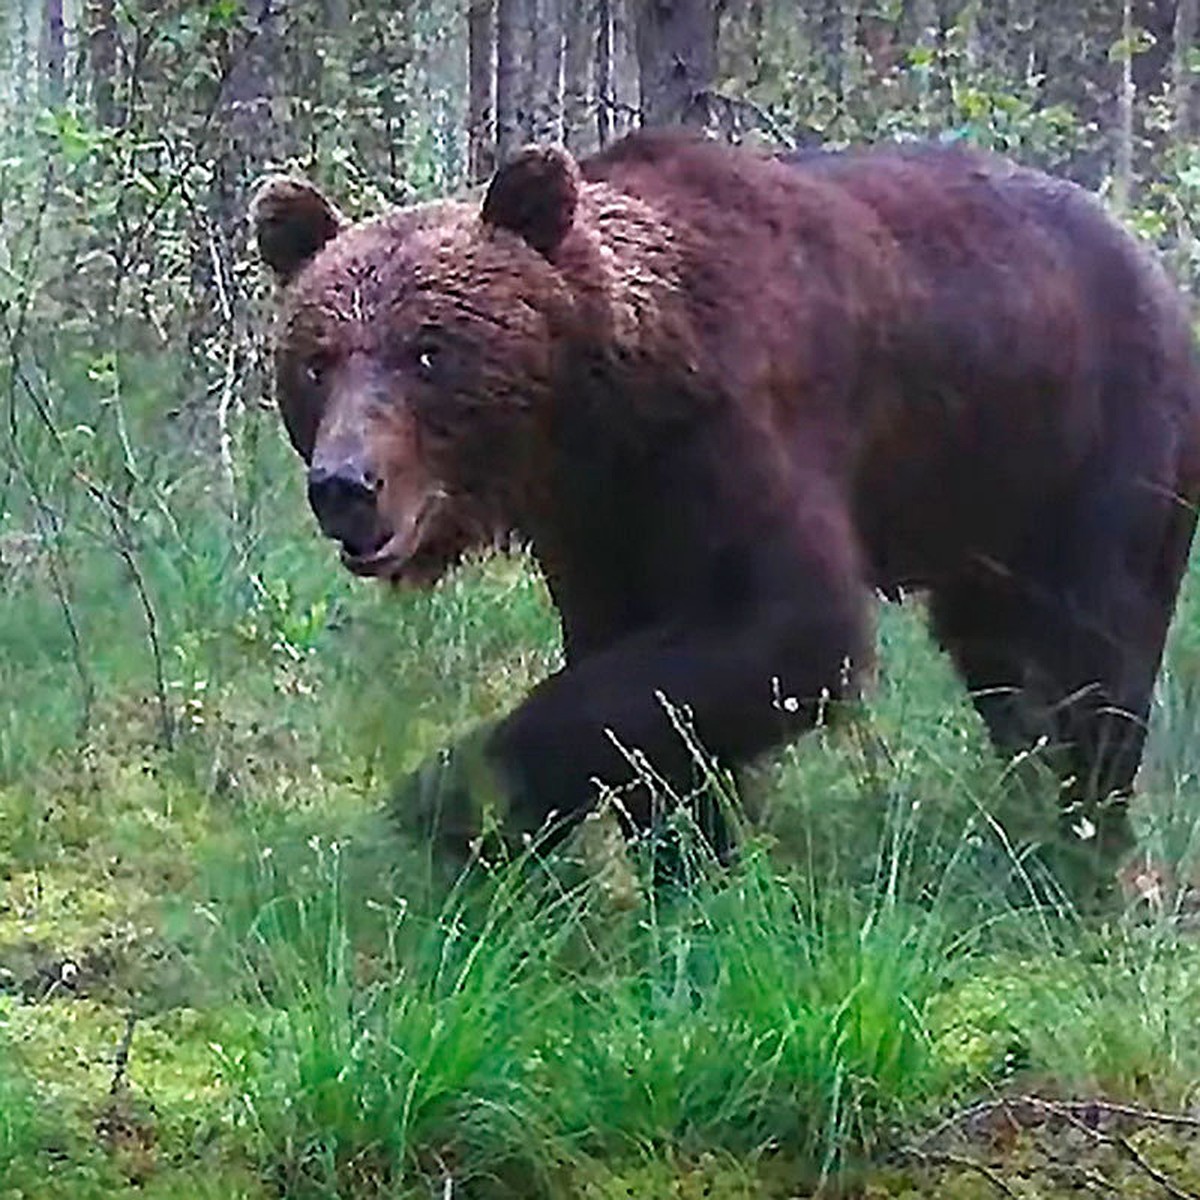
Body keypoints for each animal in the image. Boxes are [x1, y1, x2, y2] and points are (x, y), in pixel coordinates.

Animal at [253, 129, 1200, 883]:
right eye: (317, 361)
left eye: (427, 353)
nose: (345, 485)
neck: (601, 416)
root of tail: (1151, 263)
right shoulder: (599, 527)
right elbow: (647, 684)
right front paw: (687, 857)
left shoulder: (737, 436)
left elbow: (788, 633)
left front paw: (454, 799)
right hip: (983, 501)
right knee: (1002, 659)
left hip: (1099, 452)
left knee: (1093, 654)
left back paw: (1082, 845)